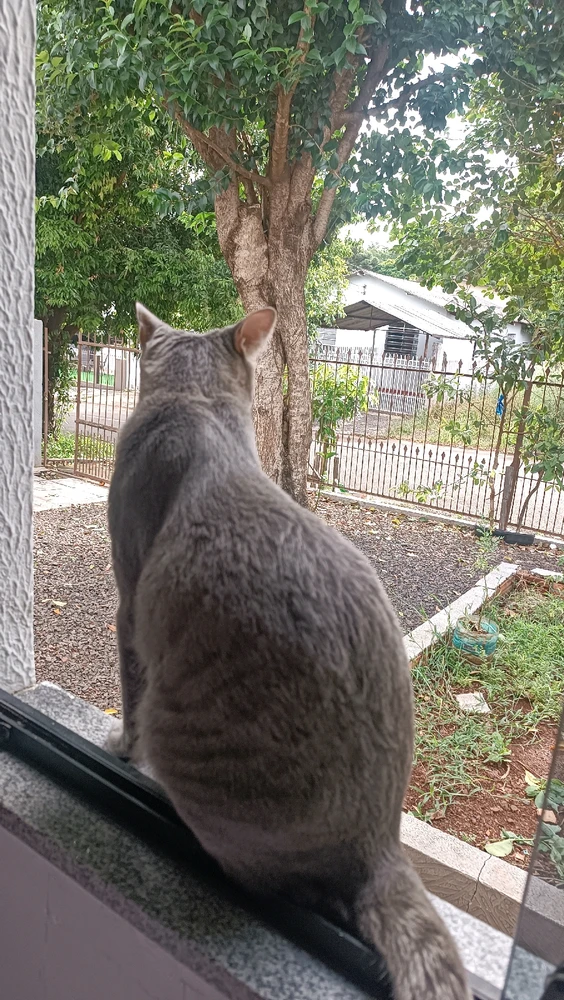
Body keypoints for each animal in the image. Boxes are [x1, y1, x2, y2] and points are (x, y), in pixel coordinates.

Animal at [106, 303, 470, 1000]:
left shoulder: (129, 603)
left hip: (189, 740)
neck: (196, 403)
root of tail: (381, 842)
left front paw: (120, 748)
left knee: (274, 880)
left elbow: (129, 695)